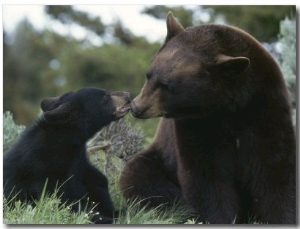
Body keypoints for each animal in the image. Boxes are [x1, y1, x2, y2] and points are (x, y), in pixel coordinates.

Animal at [3, 87, 130, 224]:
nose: (127, 95)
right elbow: (59, 198)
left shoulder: (79, 161)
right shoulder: (44, 167)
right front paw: (99, 217)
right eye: (105, 96)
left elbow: (96, 181)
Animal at [120, 12, 298, 224]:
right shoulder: (197, 124)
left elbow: (274, 169)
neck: (229, 106)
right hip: (157, 159)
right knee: (141, 178)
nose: (136, 107)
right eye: (149, 75)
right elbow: (206, 175)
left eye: (167, 85)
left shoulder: (264, 107)